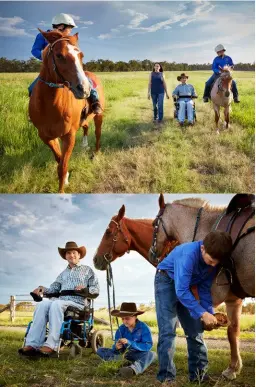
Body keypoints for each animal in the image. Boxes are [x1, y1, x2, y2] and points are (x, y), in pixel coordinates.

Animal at [28, 29, 104, 193]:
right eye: (59, 56)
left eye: (81, 55)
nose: (84, 89)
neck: (51, 105)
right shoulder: (46, 136)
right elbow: (59, 159)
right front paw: (67, 177)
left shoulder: (69, 136)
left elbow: (62, 166)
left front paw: (62, 189)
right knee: (86, 127)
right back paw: (84, 145)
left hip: (99, 116)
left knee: (98, 134)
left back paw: (95, 154)